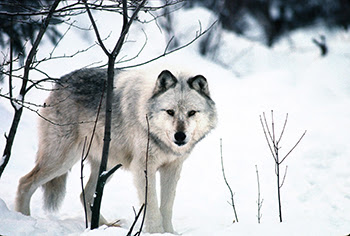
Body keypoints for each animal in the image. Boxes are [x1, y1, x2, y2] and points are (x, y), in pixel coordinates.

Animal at [15, 65, 216, 233]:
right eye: (170, 112)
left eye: (191, 113)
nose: (180, 136)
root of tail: (60, 82)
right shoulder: (143, 168)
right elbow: (152, 206)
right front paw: (157, 232)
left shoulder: (172, 168)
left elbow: (166, 206)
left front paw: (169, 233)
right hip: (63, 160)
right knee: (25, 182)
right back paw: (22, 218)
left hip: (107, 166)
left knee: (86, 194)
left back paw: (104, 226)